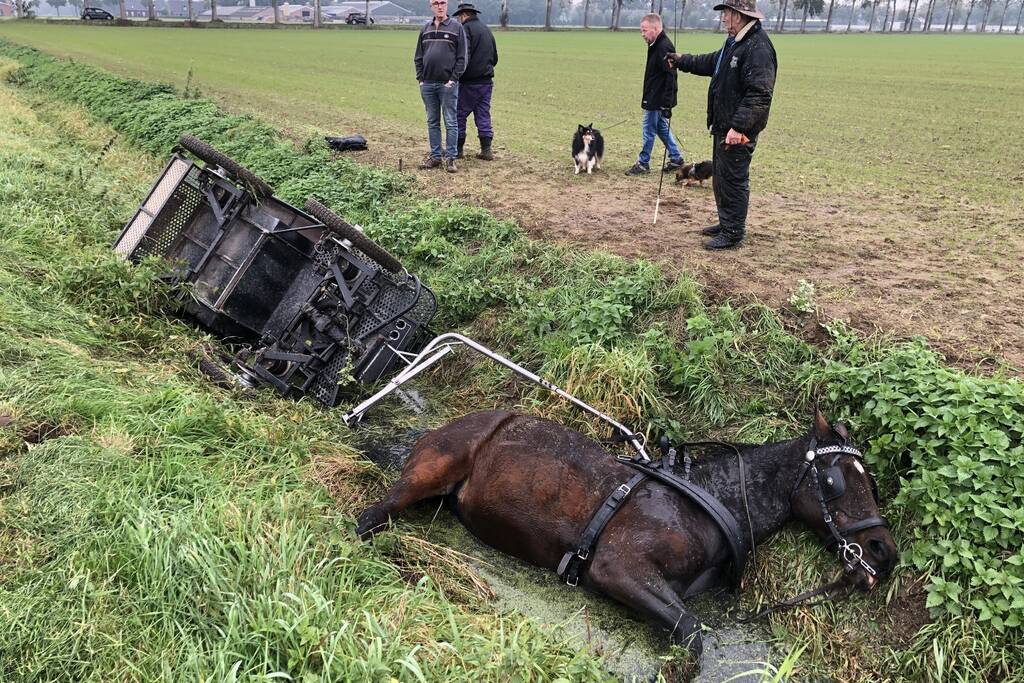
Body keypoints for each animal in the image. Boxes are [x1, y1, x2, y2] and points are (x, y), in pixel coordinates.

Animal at [356, 409, 897, 659]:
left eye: (871, 481)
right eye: (837, 479)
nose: (884, 551)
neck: (707, 501)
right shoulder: (617, 567)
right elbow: (692, 633)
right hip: (430, 472)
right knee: (371, 517)